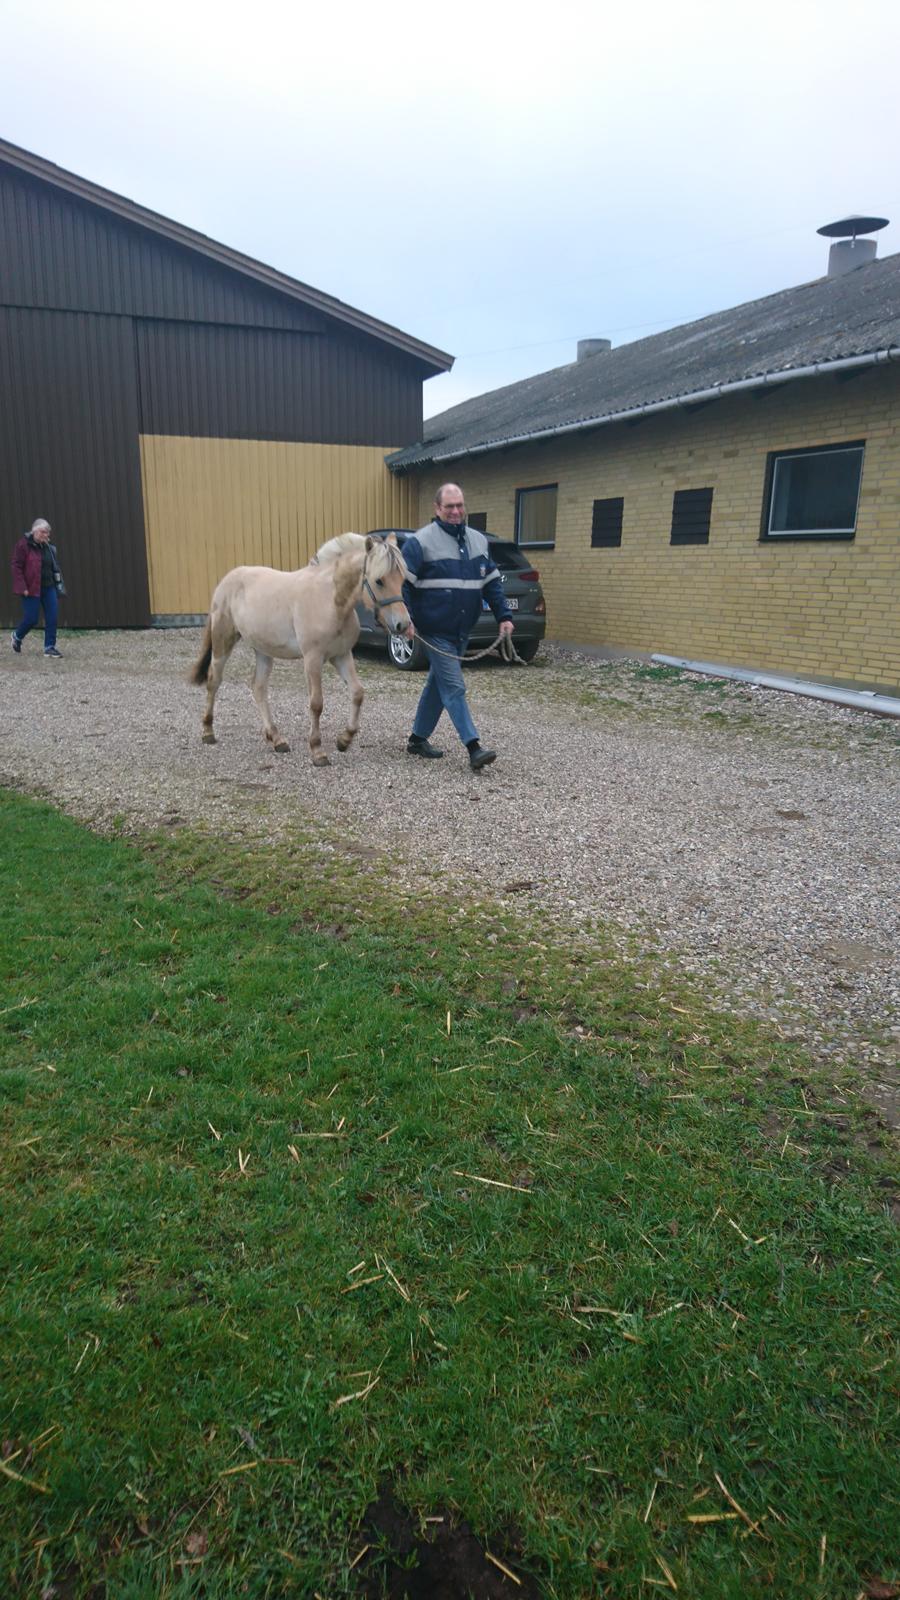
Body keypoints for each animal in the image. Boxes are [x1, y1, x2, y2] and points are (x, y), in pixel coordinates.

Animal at [192, 531, 409, 768]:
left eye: (403, 579)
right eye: (379, 580)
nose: (403, 625)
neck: (330, 599)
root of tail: (226, 580)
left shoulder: (341, 656)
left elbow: (357, 693)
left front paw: (344, 740)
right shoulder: (313, 659)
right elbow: (316, 703)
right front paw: (317, 751)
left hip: (263, 650)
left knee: (258, 688)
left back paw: (277, 739)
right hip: (223, 642)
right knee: (214, 681)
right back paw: (208, 732)